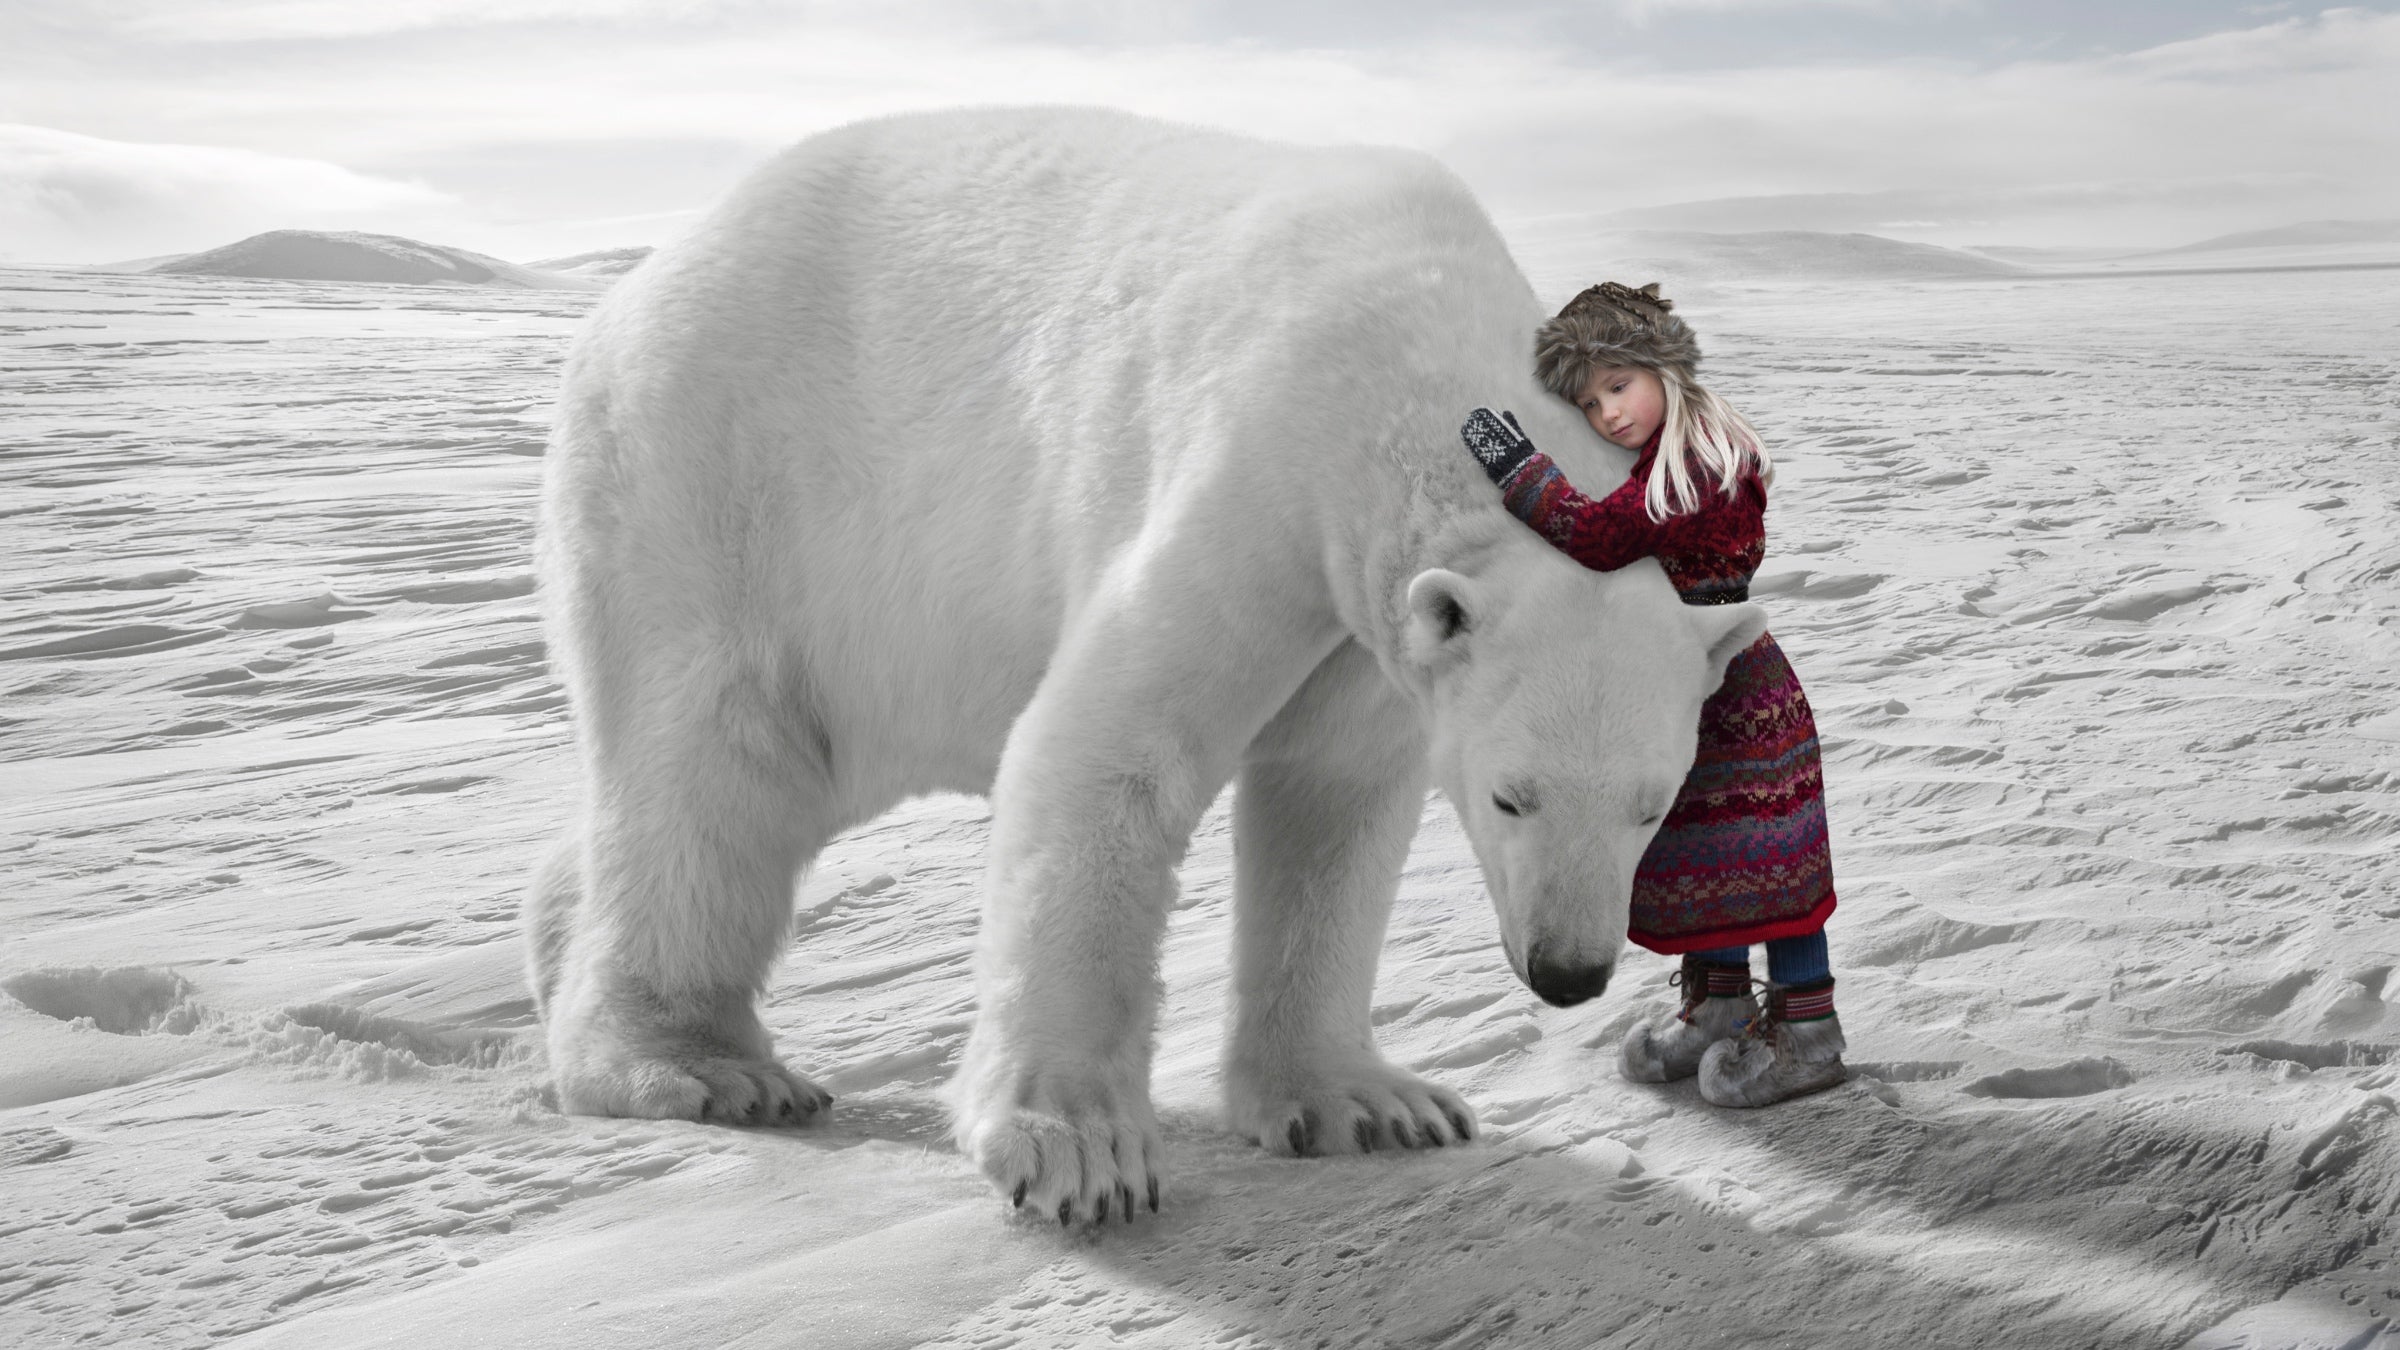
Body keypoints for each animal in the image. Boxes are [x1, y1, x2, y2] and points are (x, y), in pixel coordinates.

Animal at [525, 106, 1768, 1222]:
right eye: (1512, 797)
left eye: (1652, 804)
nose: (1569, 971)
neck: (1412, 349)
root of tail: (639, 287)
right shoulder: (1263, 472)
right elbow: (1116, 754)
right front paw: (1075, 1150)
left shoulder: (1366, 629)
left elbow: (1331, 806)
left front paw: (1369, 1105)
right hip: (719, 483)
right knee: (714, 765)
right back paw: (698, 1064)